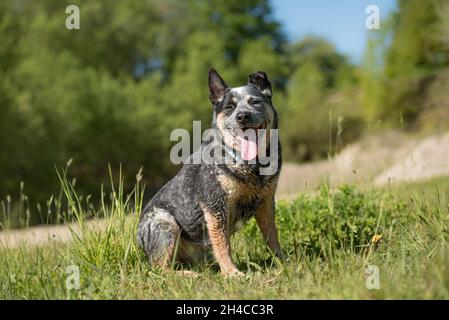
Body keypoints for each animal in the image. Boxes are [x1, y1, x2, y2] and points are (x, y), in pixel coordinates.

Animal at [137, 68, 284, 278]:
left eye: (255, 101)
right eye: (229, 107)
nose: (243, 116)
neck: (251, 165)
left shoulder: (266, 201)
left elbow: (272, 236)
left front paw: (284, 262)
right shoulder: (215, 206)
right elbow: (223, 244)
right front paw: (232, 273)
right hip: (165, 222)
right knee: (160, 269)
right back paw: (188, 275)